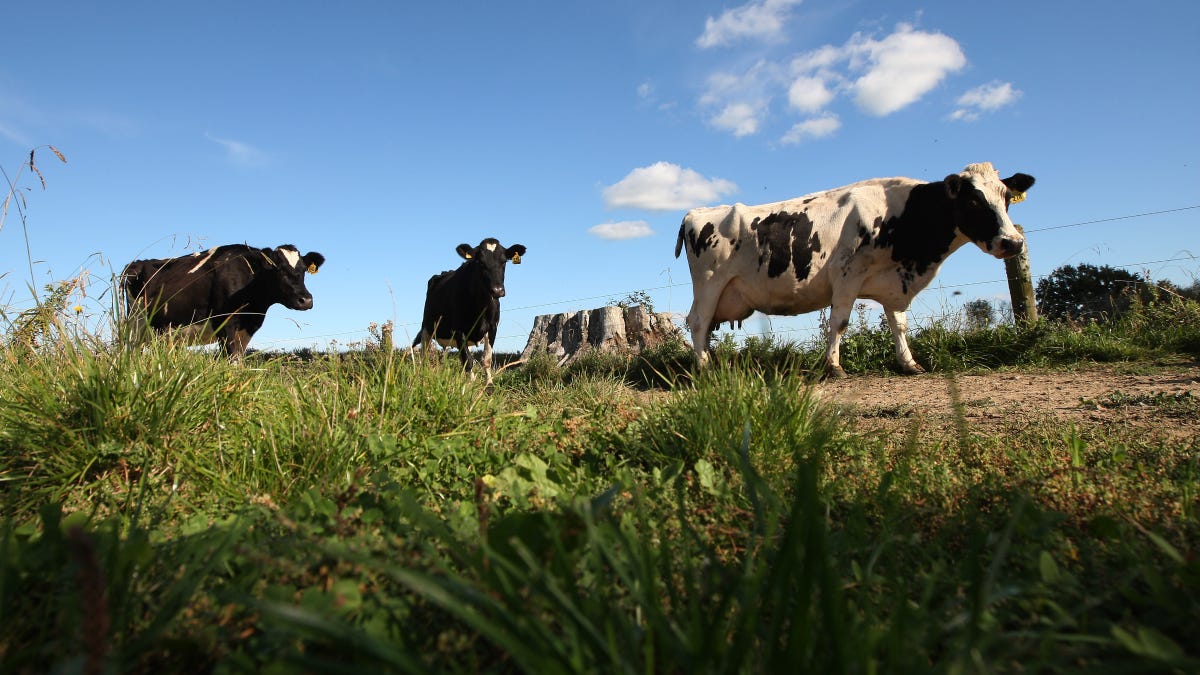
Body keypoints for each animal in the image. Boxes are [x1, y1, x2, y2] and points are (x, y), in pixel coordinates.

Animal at [120, 242, 324, 357]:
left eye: (304, 270)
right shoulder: (225, 325)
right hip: (135, 326)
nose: (306, 300)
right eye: (278, 269)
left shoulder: (247, 329)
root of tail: (136, 263)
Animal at [412, 236, 525, 384]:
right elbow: (468, 361)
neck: (481, 305)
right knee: (423, 356)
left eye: (504, 261)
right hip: (427, 328)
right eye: (480, 263)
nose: (497, 291)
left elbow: (486, 359)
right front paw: (470, 385)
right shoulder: (458, 330)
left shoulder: (492, 328)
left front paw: (489, 385)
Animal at [676, 160, 1032, 374]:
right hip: (710, 283)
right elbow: (840, 322)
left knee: (705, 327)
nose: (1013, 242)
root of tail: (694, 213)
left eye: (1006, 198)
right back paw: (704, 367)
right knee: (698, 321)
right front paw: (834, 367)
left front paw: (909, 363)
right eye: (973, 201)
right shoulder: (848, 272)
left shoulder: (893, 283)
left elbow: (899, 325)